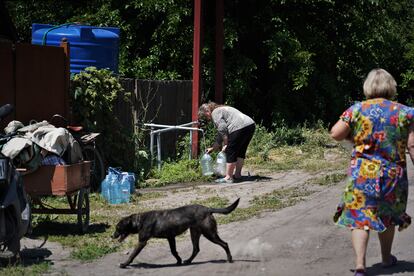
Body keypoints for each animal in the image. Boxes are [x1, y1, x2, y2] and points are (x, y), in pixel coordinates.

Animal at [111, 198, 241, 268]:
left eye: (118, 227)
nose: (112, 236)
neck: (139, 221)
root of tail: (208, 209)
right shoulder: (170, 237)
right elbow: (173, 251)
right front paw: (178, 260)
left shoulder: (142, 242)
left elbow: (132, 255)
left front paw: (124, 264)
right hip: (194, 233)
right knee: (196, 249)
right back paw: (188, 261)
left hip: (209, 233)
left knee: (224, 244)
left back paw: (229, 259)